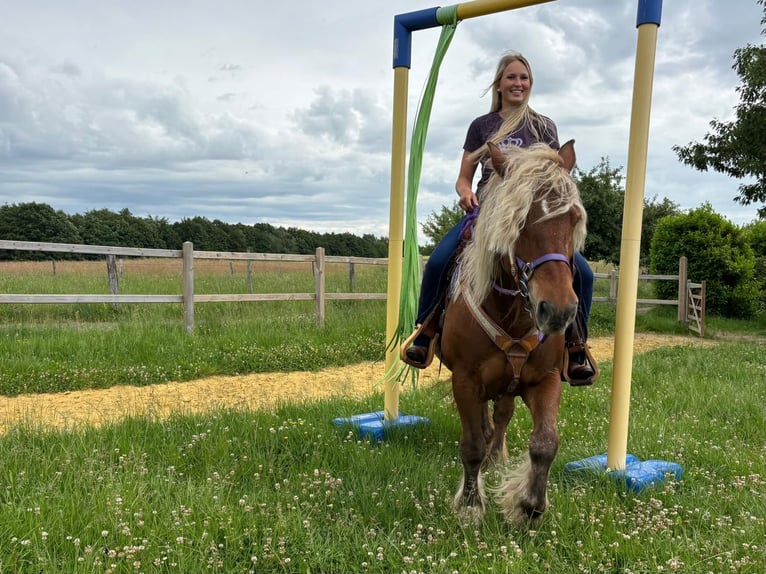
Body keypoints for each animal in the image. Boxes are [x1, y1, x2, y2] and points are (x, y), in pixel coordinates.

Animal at [439, 139, 586, 526]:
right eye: (519, 221)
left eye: (573, 219)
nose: (558, 310)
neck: (512, 316)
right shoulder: (464, 380)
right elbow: (472, 445)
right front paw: (471, 506)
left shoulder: (545, 379)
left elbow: (545, 442)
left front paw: (529, 505)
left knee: (501, 418)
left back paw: (497, 459)